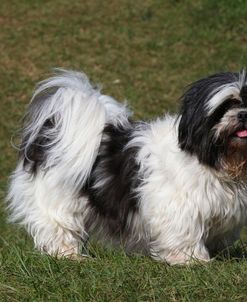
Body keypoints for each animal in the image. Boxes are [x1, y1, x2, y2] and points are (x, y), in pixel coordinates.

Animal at [6, 69, 247, 264]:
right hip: (59, 198)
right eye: (226, 106)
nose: (243, 113)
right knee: (58, 225)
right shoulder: (178, 206)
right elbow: (184, 233)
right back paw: (68, 255)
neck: (218, 161)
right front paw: (191, 260)